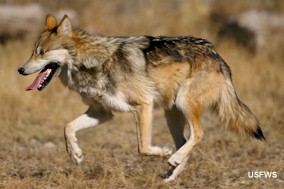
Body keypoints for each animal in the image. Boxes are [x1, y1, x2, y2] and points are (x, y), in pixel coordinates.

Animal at [17, 14, 266, 182]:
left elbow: (143, 147)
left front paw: (163, 152)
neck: (92, 63)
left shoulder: (143, 106)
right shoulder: (102, 113)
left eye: (41, 53)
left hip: (183, 104)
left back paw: (172, 159)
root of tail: (217, 55)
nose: (20, 69)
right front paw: (76, 154)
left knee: (198, 134)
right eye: (32, 52)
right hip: (171, 114)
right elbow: (68, 127)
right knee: (186, 141)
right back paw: (171, 174)